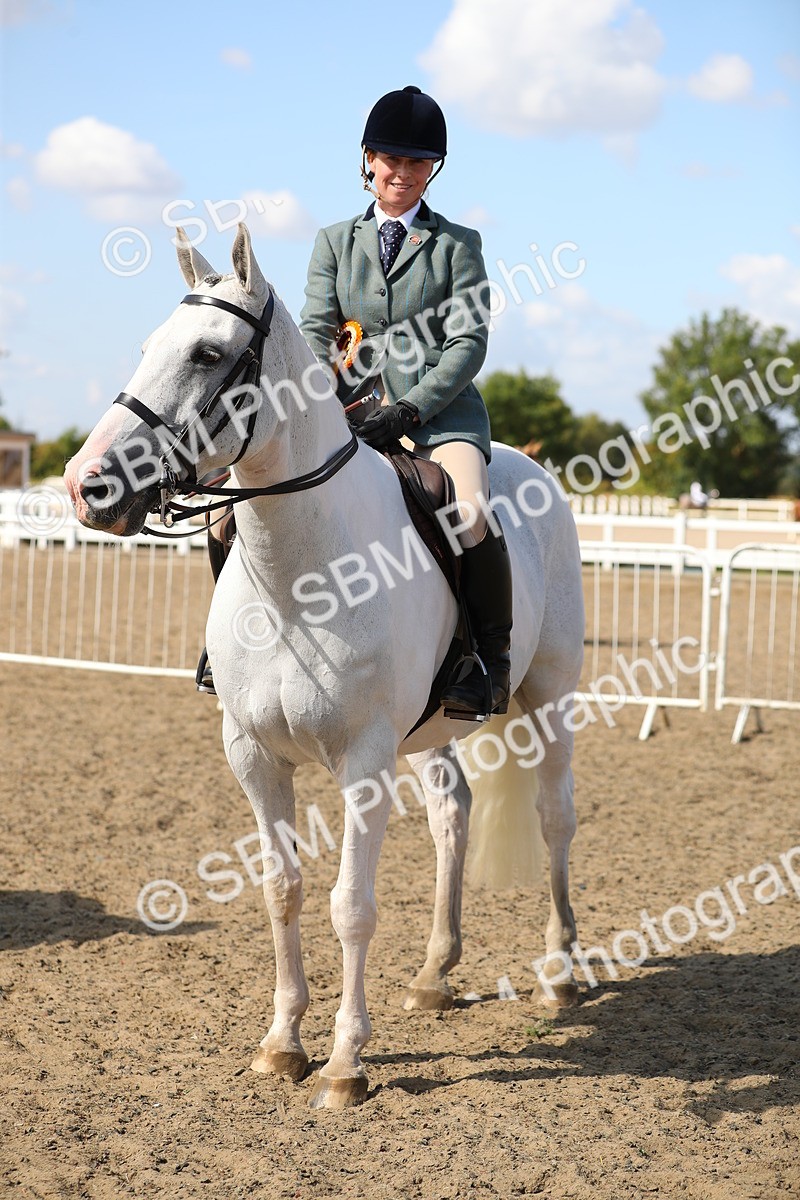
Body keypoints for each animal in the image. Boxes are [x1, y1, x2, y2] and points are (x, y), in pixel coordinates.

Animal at [64, 225, 585, 1110]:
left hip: (549, 698)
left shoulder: (364, 761)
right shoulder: (252, 756)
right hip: (433, 732)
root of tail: (531, 464)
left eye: (208, 353)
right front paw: (282, 1044)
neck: (299, 574)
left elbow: (351, 906)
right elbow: (283, 891)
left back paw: (558, 974)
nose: (87, 486)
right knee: (452, 813)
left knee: (555, 819)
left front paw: (345, 1063)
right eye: (146, 347)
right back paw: (435, 975)